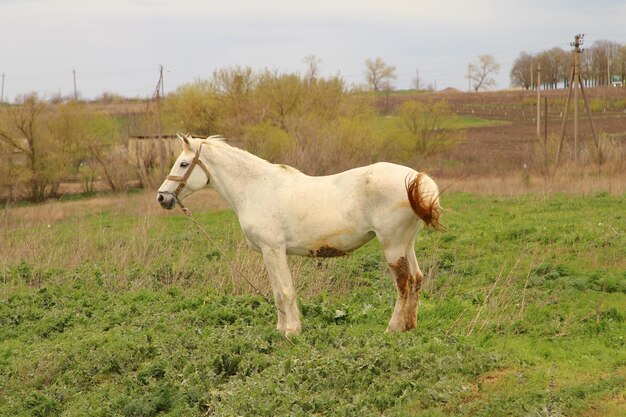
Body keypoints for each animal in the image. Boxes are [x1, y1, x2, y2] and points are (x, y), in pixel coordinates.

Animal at [157, 135, 438, 336]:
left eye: (183, 163)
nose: (162, 197)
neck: (257, 188)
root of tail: (416, 180)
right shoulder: (267, 253)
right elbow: (276, 292)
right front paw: (281, 329)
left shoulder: (274, 249)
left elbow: (285, 290)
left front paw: (292, 331)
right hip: (407, 244)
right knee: (416, 278)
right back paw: (410, 325)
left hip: (392, 245)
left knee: (403, 283)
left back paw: (393, 328)